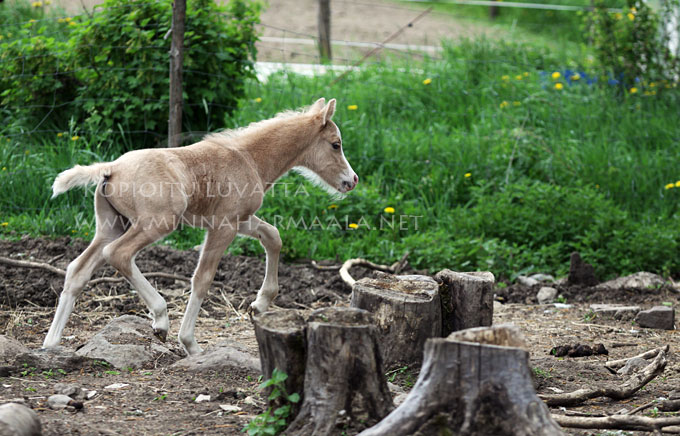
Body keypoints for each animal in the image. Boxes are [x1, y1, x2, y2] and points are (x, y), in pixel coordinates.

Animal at [43, 98, 358, 354]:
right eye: (336, 144)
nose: (352, 180)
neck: (249, 158)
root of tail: (110, 168)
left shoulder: (240, 220)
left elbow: (273, 236)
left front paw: (258, 305)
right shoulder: (223, 226)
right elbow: (202, 279)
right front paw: (190, 343)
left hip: (112, 226)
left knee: (78, 270)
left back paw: (51, 344)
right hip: (156, 224)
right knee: (118, 254)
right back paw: (161, 320)